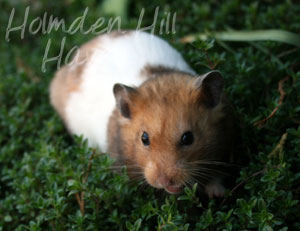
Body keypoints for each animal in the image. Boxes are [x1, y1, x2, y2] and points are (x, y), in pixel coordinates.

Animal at [49, 30, 237, 197]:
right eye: (144, 138)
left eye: (188, 138)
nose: (165, 181)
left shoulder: (224, 147)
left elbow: (217, 175)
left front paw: (217, 194)